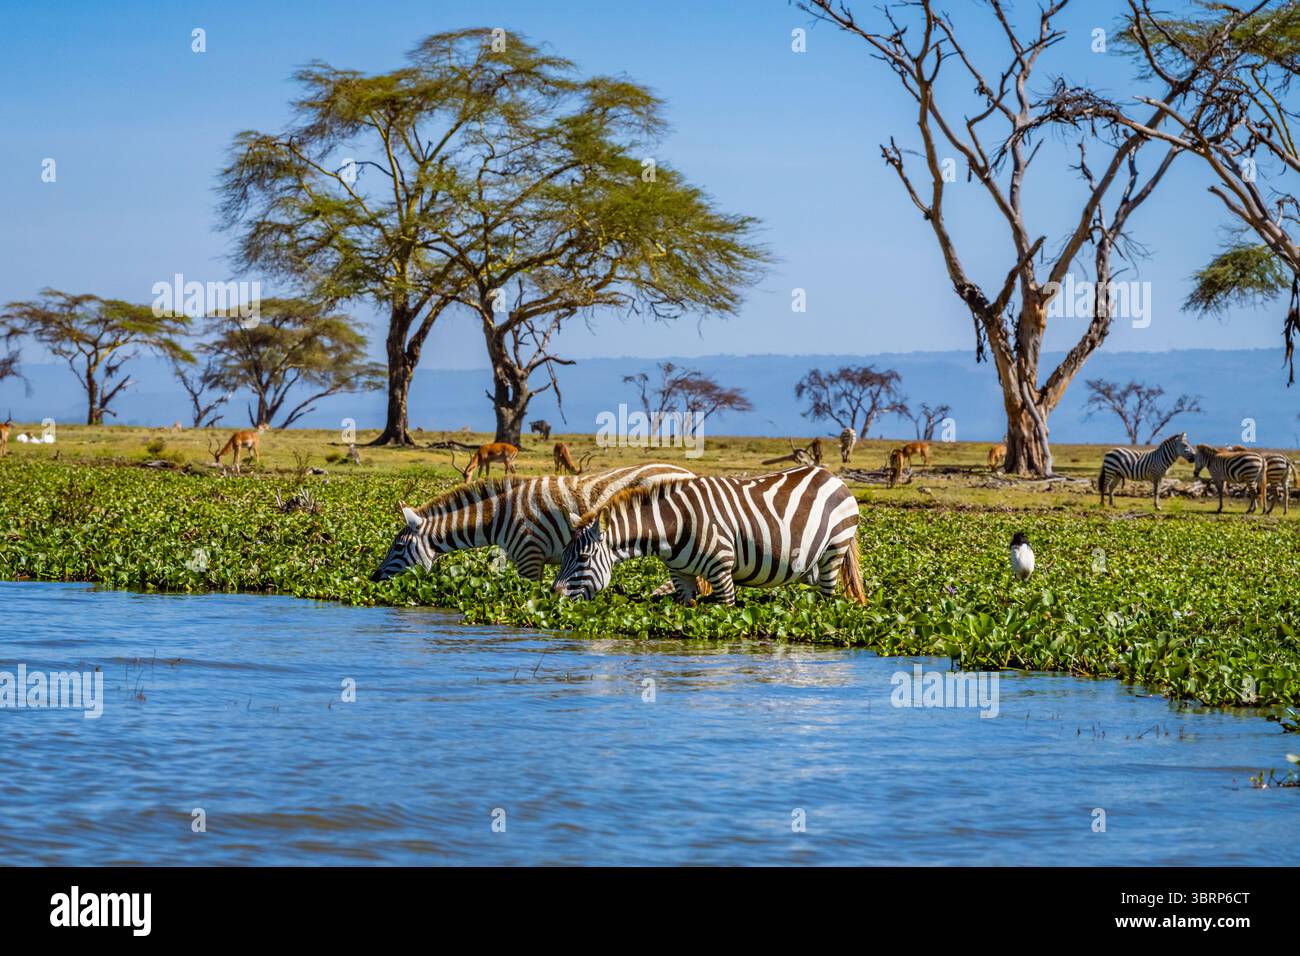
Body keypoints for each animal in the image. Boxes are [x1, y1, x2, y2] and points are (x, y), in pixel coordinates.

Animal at [551, 465, 866, 606]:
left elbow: (726, 612)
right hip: (811, 565)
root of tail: (833, 476)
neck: (674, 525)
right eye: (562, 555)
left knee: (828, 600)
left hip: (833, 551)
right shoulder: (681, 575)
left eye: (582, 558)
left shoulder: (721, 570)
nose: (553, 595)